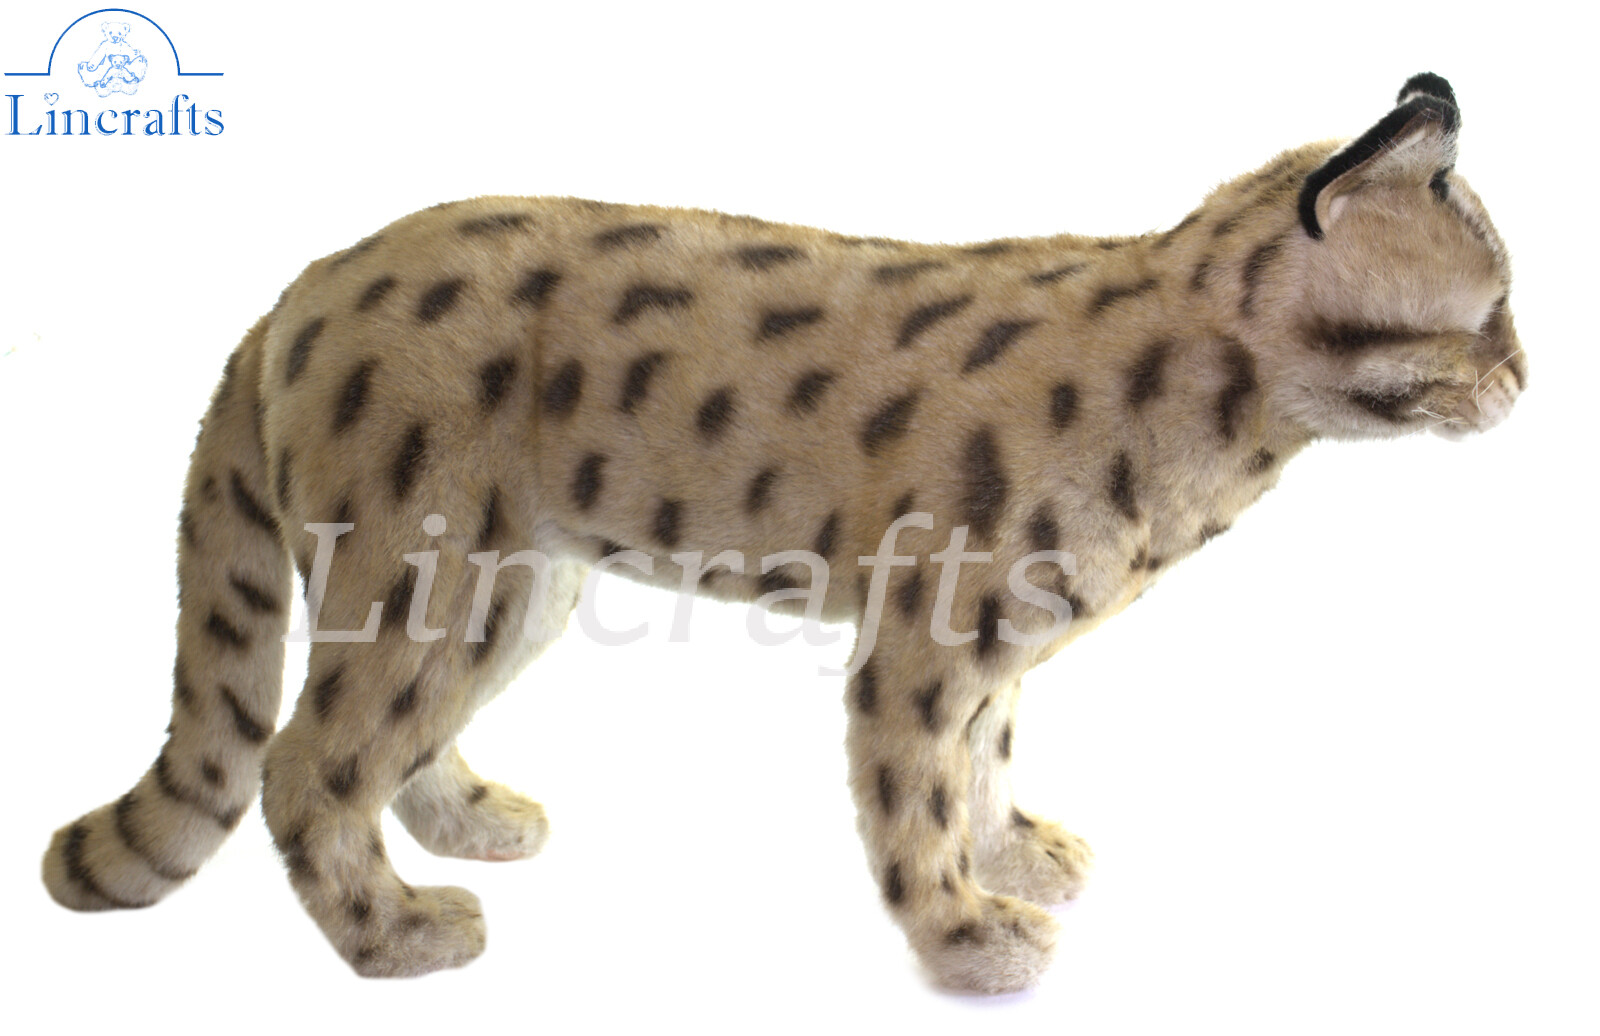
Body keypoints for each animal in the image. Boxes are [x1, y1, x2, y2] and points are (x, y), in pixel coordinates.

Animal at [41, 73, 1526, 994]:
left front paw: (1012, 854)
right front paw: (967, 935)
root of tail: (300, 284)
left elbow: (986, 756)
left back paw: (469, 822)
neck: (1229, 416)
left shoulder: (997, 642)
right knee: (306, 759)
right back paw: (395, 932)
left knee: (389, 740)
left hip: (512, 581)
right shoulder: (925, 634)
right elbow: (914, 793)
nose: (1528, 379)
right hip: (421, 563)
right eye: (1497, 304)